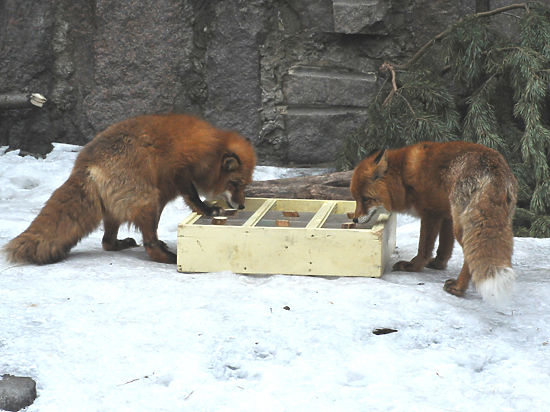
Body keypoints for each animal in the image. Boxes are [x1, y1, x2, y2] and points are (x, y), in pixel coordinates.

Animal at [3, 114, 258, 266]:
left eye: (246, 185)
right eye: (235, 183)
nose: (242, 205)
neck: (212, 147)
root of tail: (85, 164)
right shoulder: (180, 170)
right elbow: (194, 197)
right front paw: (207, 209)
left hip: (133, 208)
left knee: (107, 241)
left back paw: (123, 244)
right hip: (149, 200)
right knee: (149, 245)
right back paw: (170, 257)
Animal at [352, 142, 520, 302]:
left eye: (366, 199)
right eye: (356, 198)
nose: (354, 219)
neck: (403, 177)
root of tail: (494, 169)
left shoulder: (430, 214)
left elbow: (423, 248)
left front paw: (413, 266)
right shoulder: (447, 215)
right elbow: (444, 246)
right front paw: (439, 264)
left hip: (463, 228)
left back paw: (458, 287)